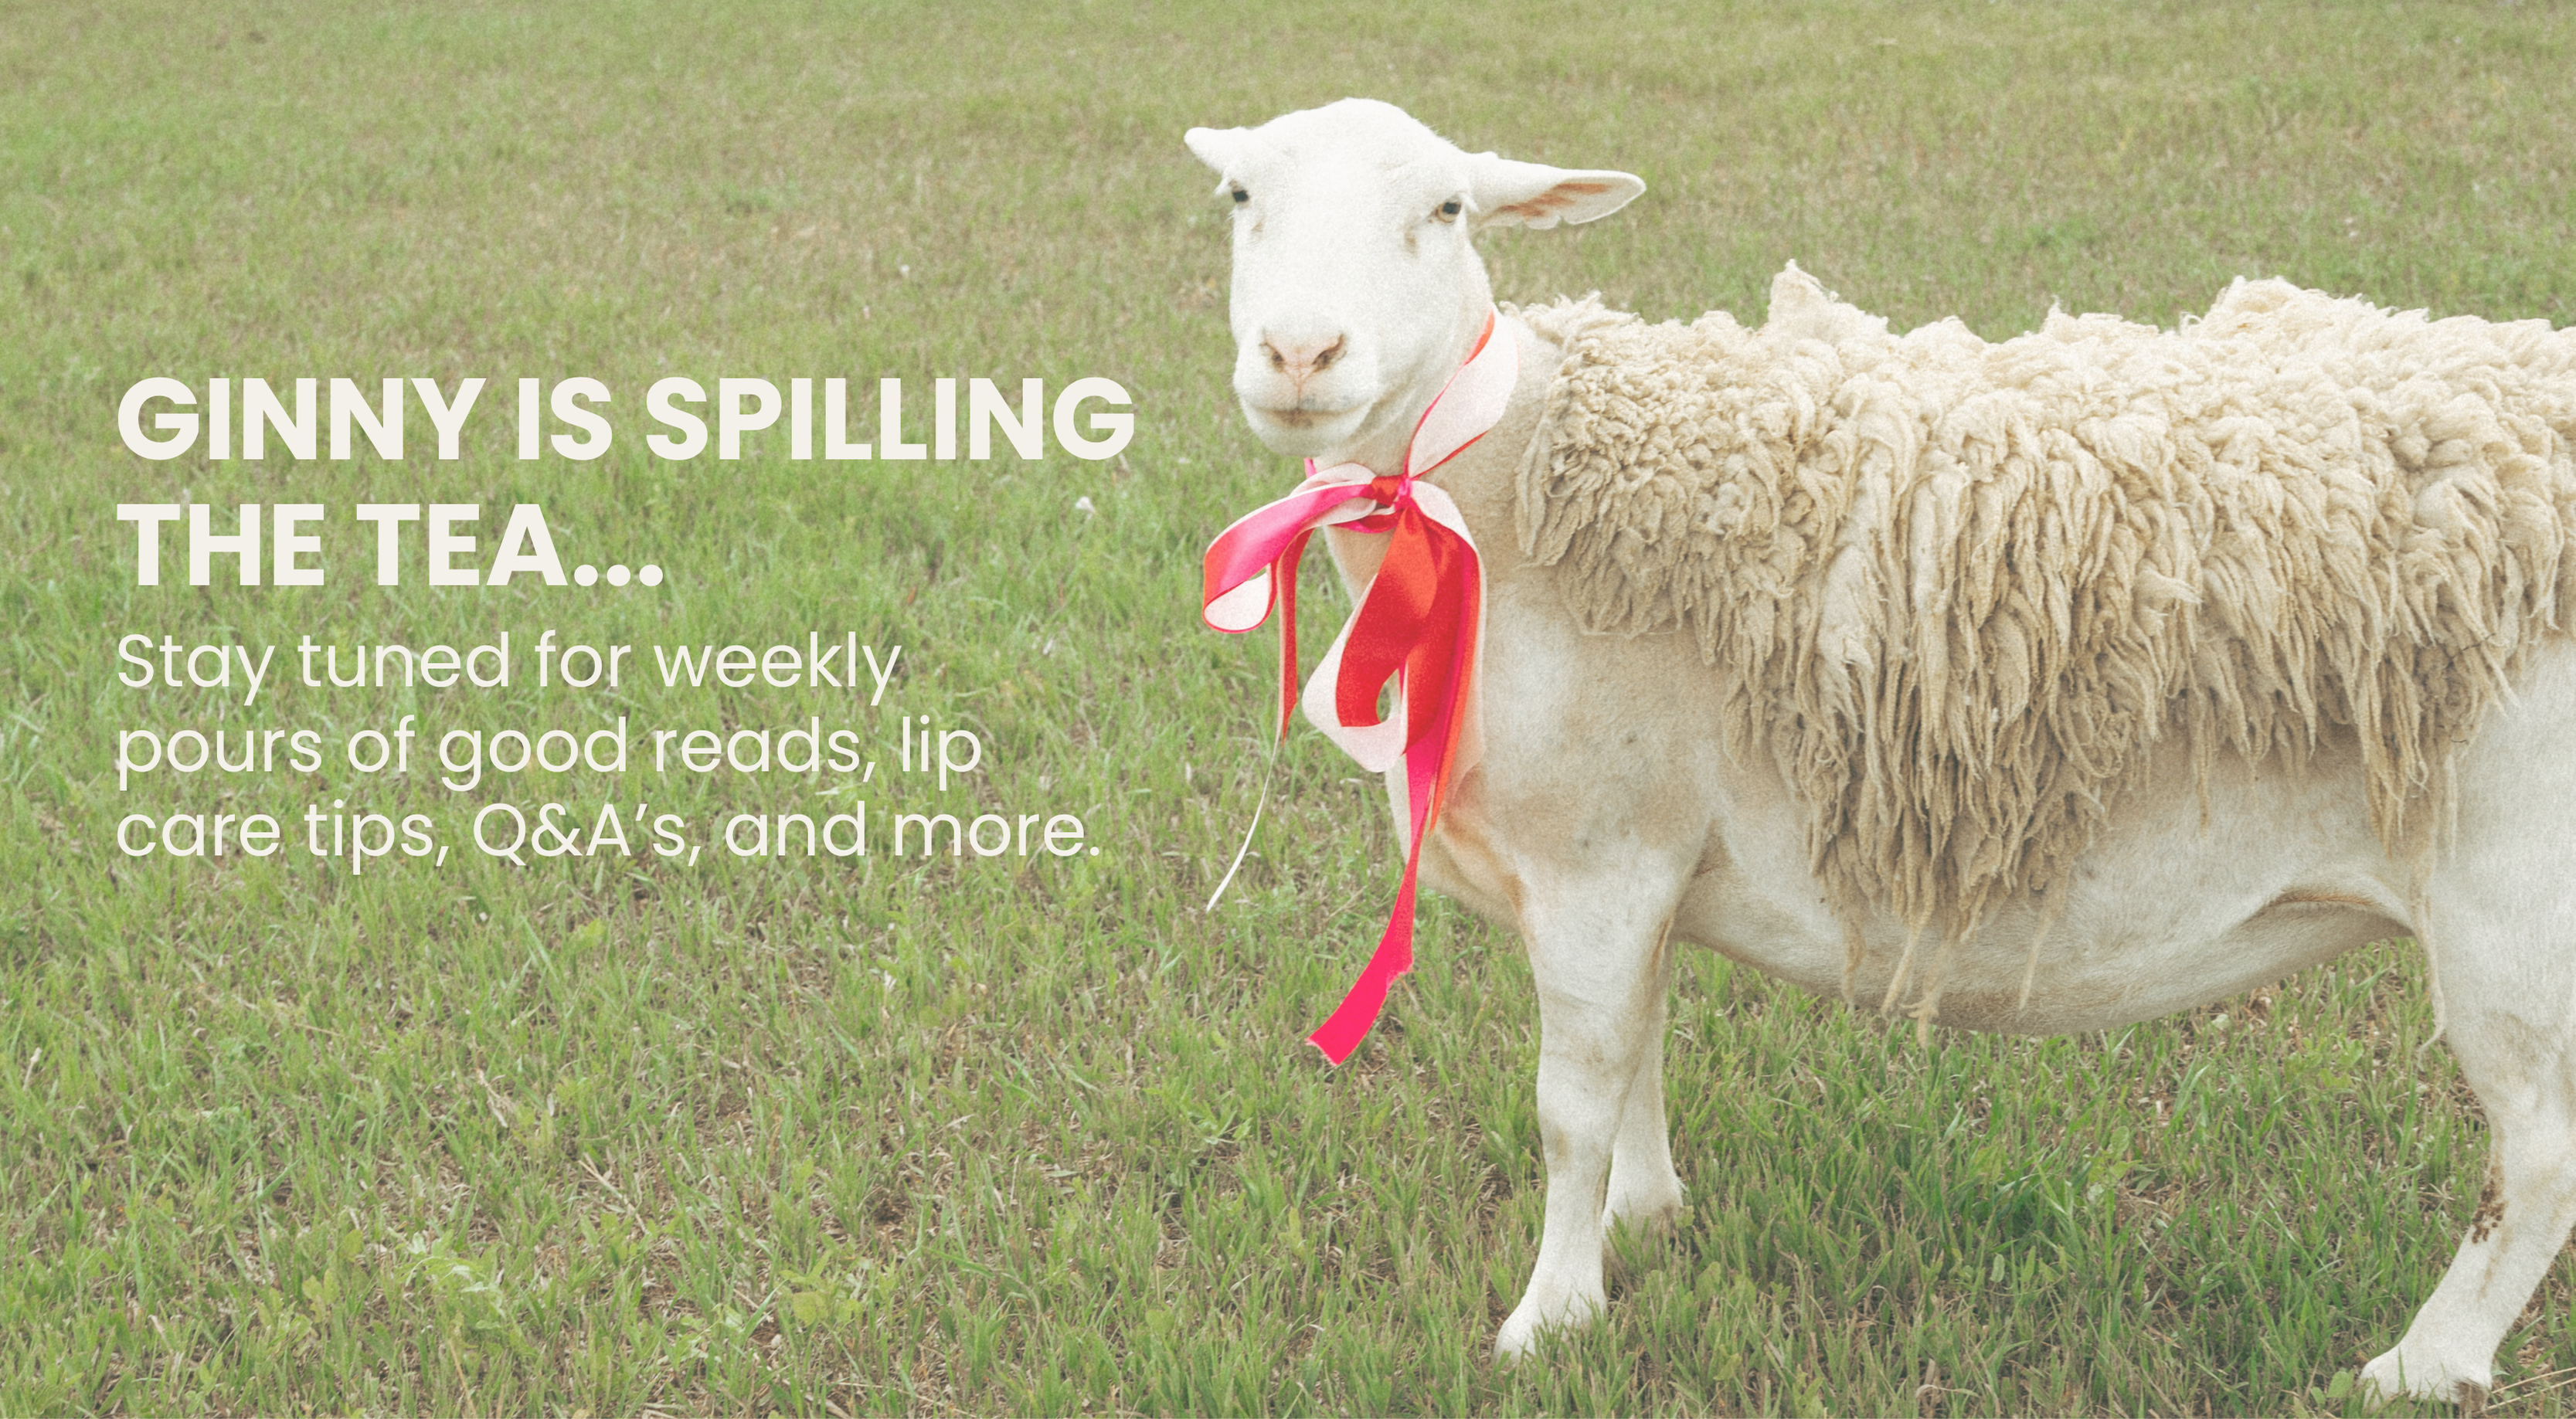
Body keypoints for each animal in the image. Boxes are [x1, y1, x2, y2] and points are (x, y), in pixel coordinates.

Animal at [1187, 97, 2576, 1406]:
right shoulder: (1647, 860)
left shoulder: (1597, 857)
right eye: (1239, 196)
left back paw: (2418, 1366)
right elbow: (1640, 1046)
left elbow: (1570, 1106)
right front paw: (1646, 1217)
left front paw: (1552, 1320)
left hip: (2509, 897)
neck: (1508, 479)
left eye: (1447, 211)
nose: (1299, 353)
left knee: (2537, 1153)